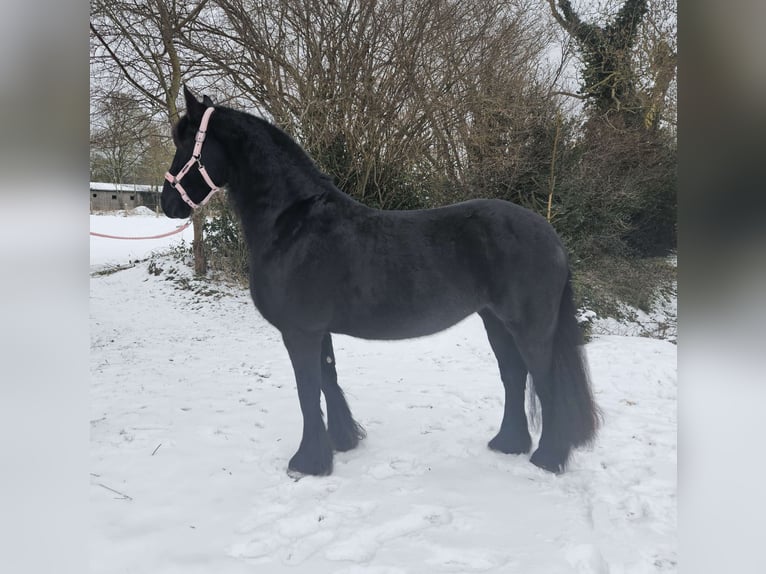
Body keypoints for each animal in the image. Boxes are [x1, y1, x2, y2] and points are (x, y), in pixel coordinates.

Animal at [161, 87, 599, 476]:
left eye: (185, 144)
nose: (168, 203)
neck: (293, 222)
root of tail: (550, 235)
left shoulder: (299, 332)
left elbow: (308, 391)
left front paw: (308, 463)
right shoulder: (318, 331)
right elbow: (328, 380)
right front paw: (342, 442)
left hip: (530, 327)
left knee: (544, 381)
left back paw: (548, 459)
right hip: (495, 320)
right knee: (514, 376)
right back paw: (508, 444)